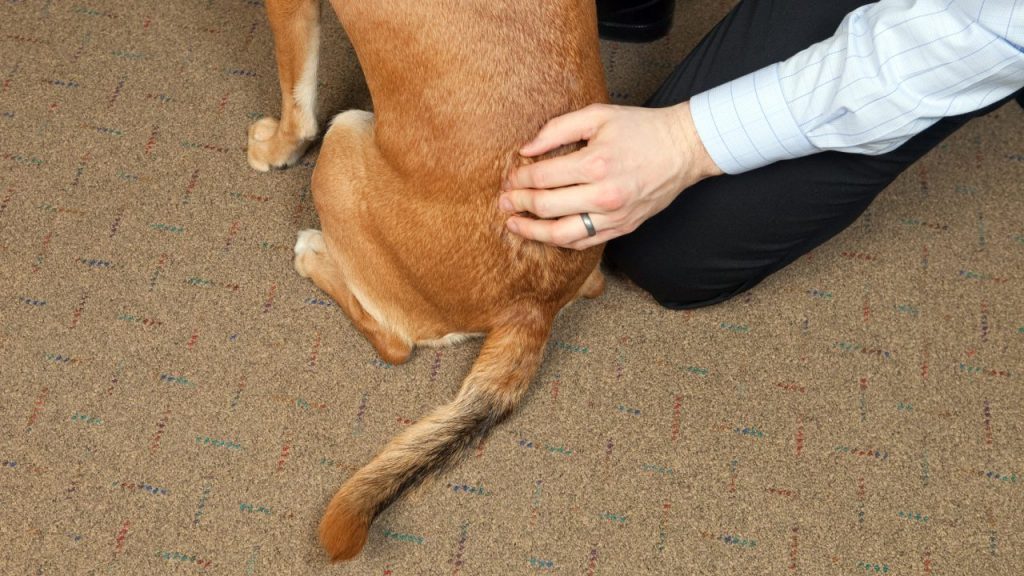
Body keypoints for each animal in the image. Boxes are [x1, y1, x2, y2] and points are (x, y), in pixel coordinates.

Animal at [247, 0, 606, 557]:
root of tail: (535, 304)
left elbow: (297, 106)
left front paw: (274, 149)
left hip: (342, 145)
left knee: (393, 342)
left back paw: (313, 253)